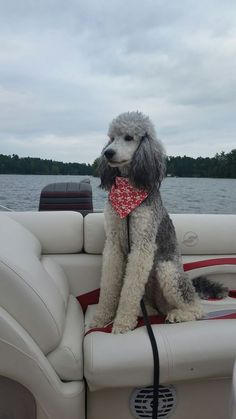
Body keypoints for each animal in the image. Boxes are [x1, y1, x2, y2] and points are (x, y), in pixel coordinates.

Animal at [90, 111, 227, 334]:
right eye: (111, 138)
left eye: (129, 137)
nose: (108, 153)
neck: (129, 189)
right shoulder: (113, 243)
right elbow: (109, 283)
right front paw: (101, 318)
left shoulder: (142, 244)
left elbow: (129, 291)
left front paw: (122, 322)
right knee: (155, 308)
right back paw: (146, 312)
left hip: (167, 270)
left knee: (196, 308)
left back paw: (178, 315)